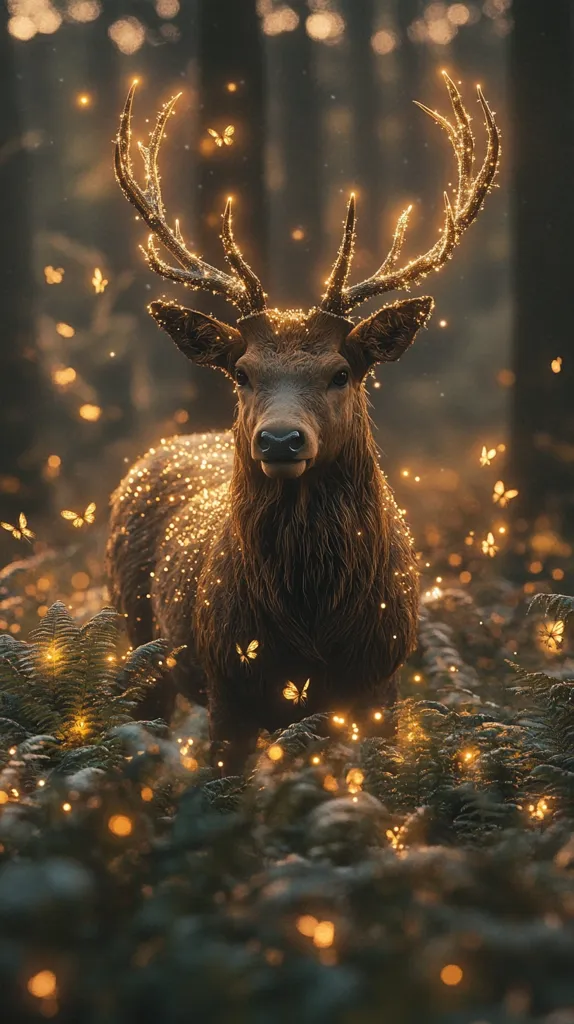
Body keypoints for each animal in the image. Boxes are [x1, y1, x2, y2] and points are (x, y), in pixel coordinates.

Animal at [107, 74, 500, 771]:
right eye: (241, 372)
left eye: (342, 372)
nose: (281, 438)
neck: (310, 631)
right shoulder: (227, 689)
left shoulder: (381, 686)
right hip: (137, 641)